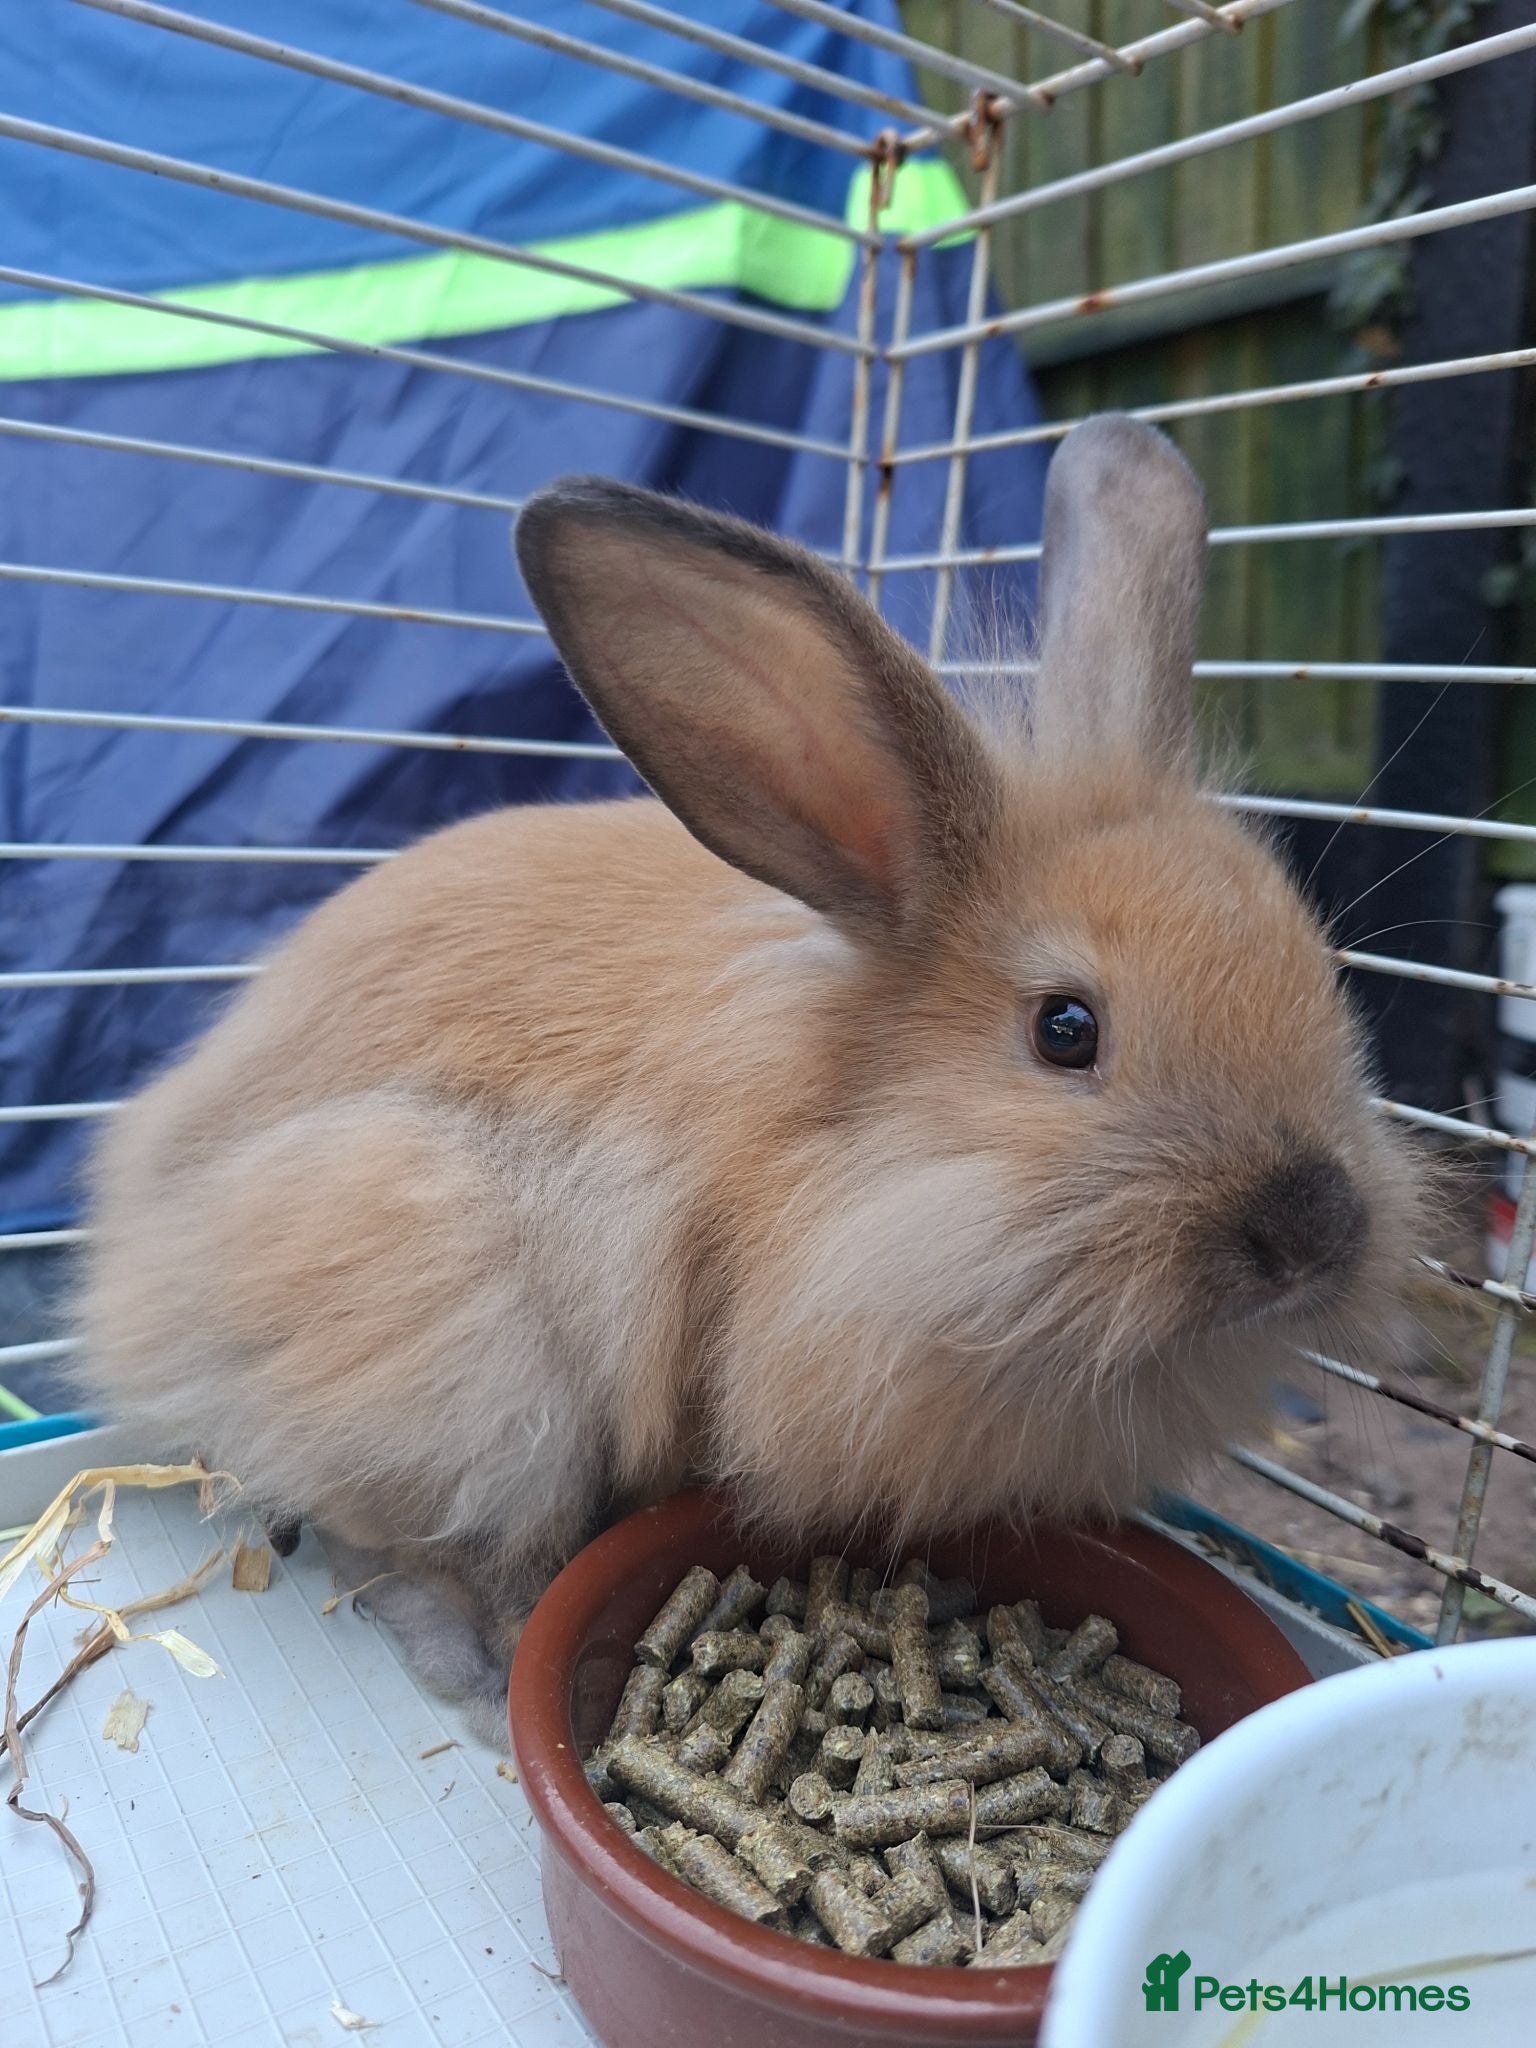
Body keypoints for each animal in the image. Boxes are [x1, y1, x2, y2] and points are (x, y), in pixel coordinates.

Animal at [74, 415, 1423, 1735]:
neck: (853, 1149)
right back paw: (471, 1654)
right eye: (1066, 1029)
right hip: (435, 1304)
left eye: (1322, 974)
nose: (1314, 1225)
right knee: (388, 1527)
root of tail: (136, 1256)